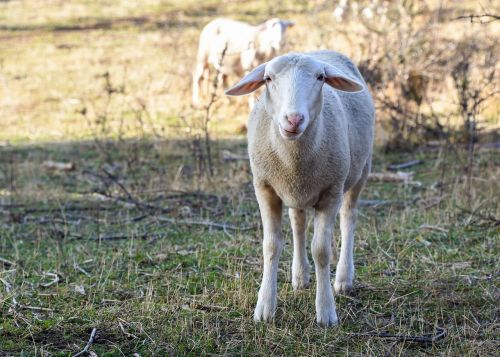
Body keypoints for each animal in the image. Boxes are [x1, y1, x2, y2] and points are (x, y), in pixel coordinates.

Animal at [225, 49, 374, 326]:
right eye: (268, 78)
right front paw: (265, 308)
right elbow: (271, 246)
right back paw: (300, 275)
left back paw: (344, 279)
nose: (293, 119)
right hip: (297, 191)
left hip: (361, 171)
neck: (293, 158)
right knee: (298, 222)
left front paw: (326, 312)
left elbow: (321, 251)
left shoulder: (331, 191)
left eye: (320, 77)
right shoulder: (265, 188)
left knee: (349, 219)